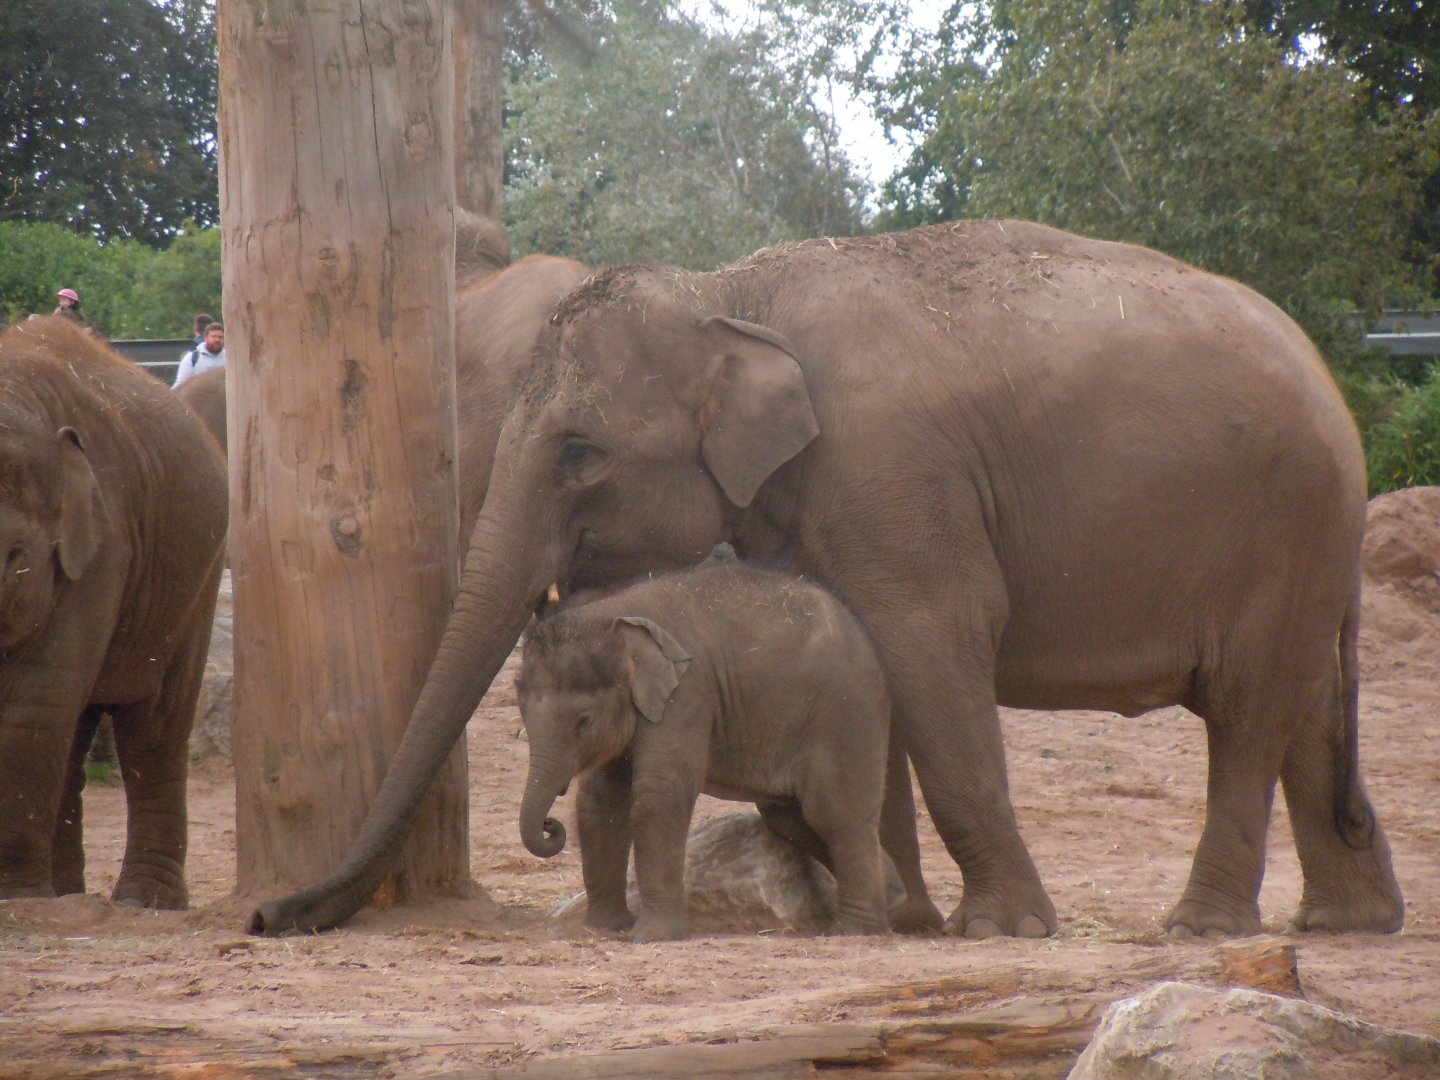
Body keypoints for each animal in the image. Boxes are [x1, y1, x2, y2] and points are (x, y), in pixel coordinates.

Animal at [0, 316, 228, 908]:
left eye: (15, 558)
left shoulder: (105, 544)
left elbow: (34, 703)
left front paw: (16, 899)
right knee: (74, 735)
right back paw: (66, 896)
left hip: (193, 581)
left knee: (154, 728)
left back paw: (145, 902)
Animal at [517, 557, 942, 941]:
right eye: (521, 709)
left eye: (583, 720)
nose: (550, 825)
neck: (611, 613)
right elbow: (600, 799)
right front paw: (606, 928)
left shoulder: (689, 693)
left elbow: (661, 795)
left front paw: (651, 936)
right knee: (791, 818)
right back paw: (892, 901)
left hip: (846, 714)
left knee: (833, 813)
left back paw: (854, 930)